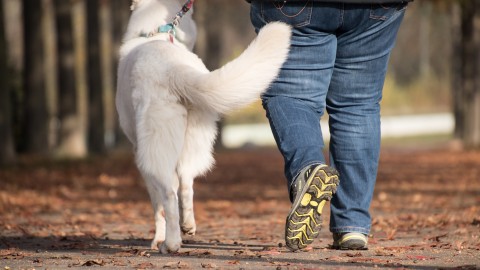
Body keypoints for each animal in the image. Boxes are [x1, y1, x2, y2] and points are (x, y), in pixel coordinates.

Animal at [116, 0, 290, 253]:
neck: (157, 33)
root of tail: (173, 69)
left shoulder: (139, 152)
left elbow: (157, 206)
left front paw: (157, 238)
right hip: (194, 139)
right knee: (186, 184)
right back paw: (187, 226)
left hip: (155, 150)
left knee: (169, 195)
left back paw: (170, 243)